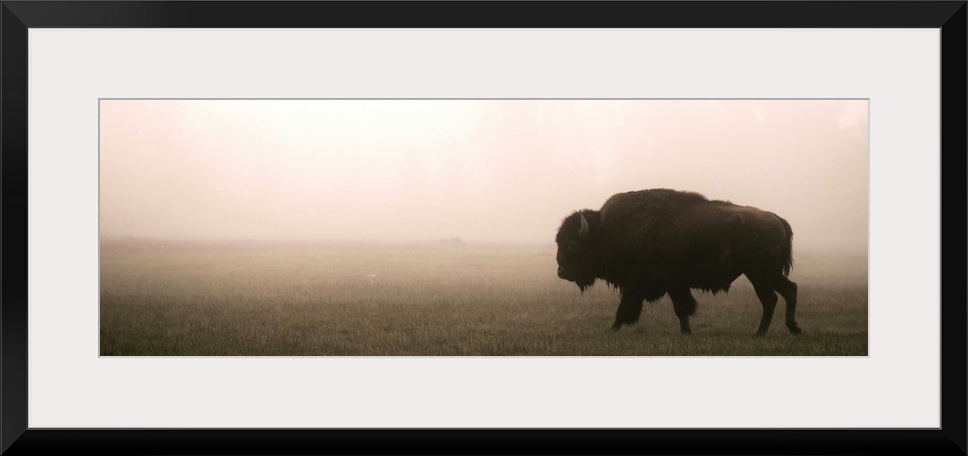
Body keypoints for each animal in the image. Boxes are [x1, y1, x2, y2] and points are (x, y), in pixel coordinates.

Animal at [556, 188, 796, 334]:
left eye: (572, 244)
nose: (561, 271)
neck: (605, 232)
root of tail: (777, 219)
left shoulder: (642, 284)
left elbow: (627, 309)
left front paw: (613, 329)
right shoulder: (673, 285)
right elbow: (681, 309)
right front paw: (686, 332)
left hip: (760, 274)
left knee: (772, 298)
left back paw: (761, 333)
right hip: (766, 274)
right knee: (786, 291)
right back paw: (789, 328)